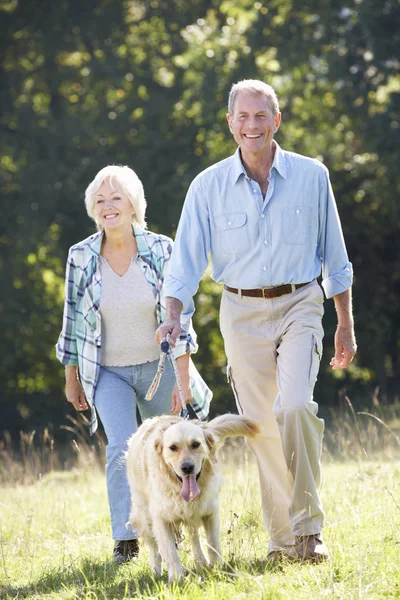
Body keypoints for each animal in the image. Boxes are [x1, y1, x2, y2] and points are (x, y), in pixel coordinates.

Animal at [126, 414, 260, 580]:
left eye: (196, 444)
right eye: (173, 447)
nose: (187, 467)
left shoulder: (210, 512)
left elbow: (213, 544)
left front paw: (218, 568)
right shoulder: (161, 519)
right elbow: (170, 553)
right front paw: (177, 579)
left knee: (194, 535)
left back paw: (200, 561)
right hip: (144, 515)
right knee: (153, 546)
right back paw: (156, 571)